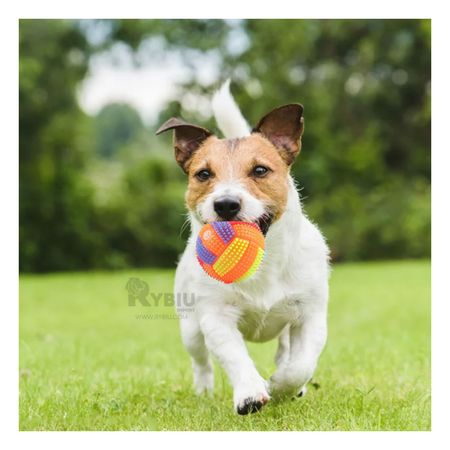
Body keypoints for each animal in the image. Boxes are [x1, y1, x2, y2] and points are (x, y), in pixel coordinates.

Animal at [156, 81, 328, 414]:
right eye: (203, 174)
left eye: (260, 170)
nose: (226, 204)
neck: (262, 263)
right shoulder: (216, 318)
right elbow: (235, 357)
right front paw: (250, 393)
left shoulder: (311, 314)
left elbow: (301, 365)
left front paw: (282, 385)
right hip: (190, 328)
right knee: (201, 362)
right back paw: (204, 390)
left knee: (285, 350)